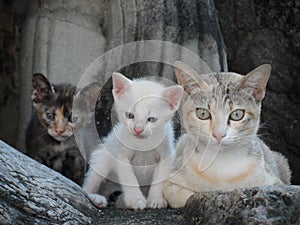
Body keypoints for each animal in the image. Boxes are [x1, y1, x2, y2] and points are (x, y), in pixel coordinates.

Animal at [81, 73, 183, 210]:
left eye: (152, 119)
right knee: (86, 187)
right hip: (102, 160)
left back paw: (121, 201)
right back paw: (96, 198)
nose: (138, 129)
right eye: (130, 115)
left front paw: (156, 199)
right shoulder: (121, 154)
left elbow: (160, 178)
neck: (143, 143)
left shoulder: (166, 155)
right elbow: (128, 177)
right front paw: (135, 200)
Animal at [163, 61, 292, 207]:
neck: (222, 164)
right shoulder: (171, 183)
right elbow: (184, 197)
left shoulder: (275, 182)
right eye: (203, 113)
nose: (219, 134)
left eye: (237, 114)